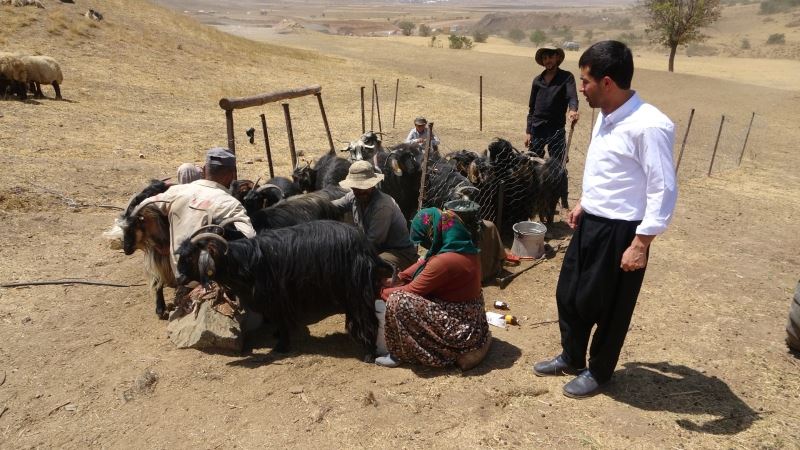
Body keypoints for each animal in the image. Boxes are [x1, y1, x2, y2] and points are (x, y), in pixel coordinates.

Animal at [175, 221, 394, 356]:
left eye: (191, 256)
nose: (179, 278)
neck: (244, 262)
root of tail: (368, 250)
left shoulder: (276, 299)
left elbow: (281, 322)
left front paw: (281, 346)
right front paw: (279, 338)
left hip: (357, 293)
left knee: (368, 319)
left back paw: (368, 352)